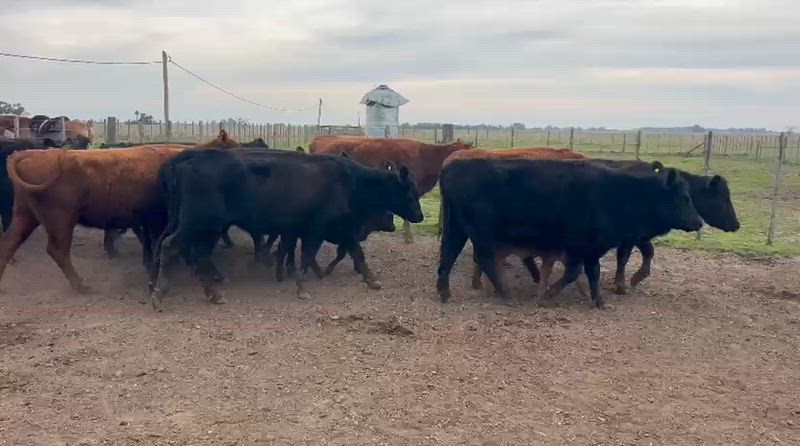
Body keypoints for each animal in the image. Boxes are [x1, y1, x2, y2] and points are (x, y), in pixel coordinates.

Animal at [0, 145, 185, 292]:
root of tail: (30, 154)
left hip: (26, 215)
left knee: (9, 243)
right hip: (62, 221)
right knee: (57, 251)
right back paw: (81, 286)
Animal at [149, 149, 423, 311]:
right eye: (410, 192)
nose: (420, 216)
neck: (350, 181)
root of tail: (184, 164)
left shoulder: (340, 228)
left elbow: (357, 253)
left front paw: (371, 280)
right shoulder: (315, 228)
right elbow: (307, 256)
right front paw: (301, 287)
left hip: (200, 225)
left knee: (192, 252)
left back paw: (211, 293)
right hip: (198, 222)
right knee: (171, 246)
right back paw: (160, 294)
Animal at [436, 158, 703, 308]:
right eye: (684, 197)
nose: (699, 222)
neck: (617, 192)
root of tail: (451, 168)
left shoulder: (590, 249)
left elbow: (591, 273)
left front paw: (599, 301)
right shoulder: (581, 247)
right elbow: (576, 272)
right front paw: (550, 293)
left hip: (458, 229)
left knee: (449, 255)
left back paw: (445, 292)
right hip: (480, 233)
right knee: (482, 258)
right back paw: (505, 293)